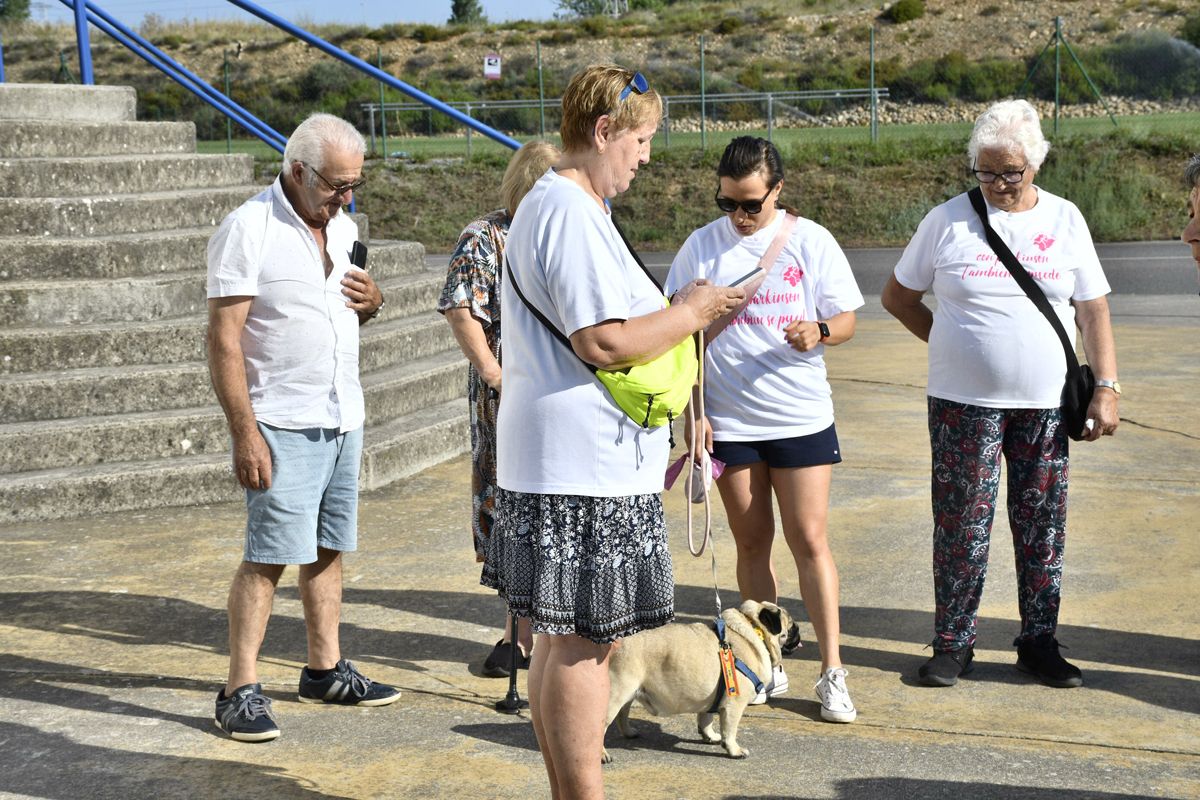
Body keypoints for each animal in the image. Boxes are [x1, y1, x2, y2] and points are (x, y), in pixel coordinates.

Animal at [604, 599, 792, 762]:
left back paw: (629, 732)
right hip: (616, 694)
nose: (796, 626)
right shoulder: (734, 704)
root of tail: (615, 642)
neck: (752, 630)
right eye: (790, 625)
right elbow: (730, 731)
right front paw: (734, 750)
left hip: (629, 693)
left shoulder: (712, 698)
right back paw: (603, 755)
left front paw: (710, 736)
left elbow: (706, 719)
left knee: (622, 713)